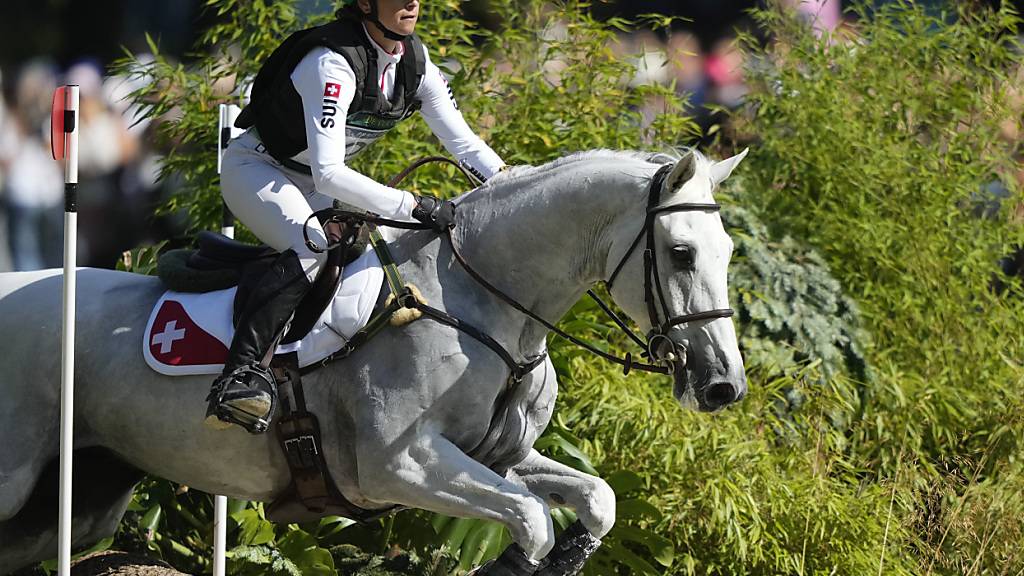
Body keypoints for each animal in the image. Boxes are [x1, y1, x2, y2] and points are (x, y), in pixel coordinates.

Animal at [2, 146, 753, 569]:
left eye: (728, 253)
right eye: (681, 252)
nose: (723, 386)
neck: (482, 300)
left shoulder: (495, 455)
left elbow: (595, 501)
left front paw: (572, 552)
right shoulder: (398, 466)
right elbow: (532, 520)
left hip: (83, 496)